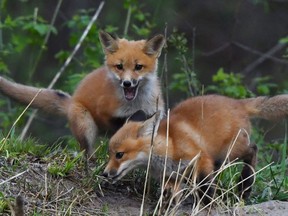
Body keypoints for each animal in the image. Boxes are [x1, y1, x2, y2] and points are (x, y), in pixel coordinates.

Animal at [0, 30, 165, 157]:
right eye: (119, 66)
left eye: (138, 67)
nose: (127, 83)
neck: (136, 104)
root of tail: (72, 99)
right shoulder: (105, 112)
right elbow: (120, 132)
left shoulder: (154, 115)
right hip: (85, 123)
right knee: (86, 151)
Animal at [103, 94, 288, 204]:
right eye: (110, 154)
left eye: (119, 155)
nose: (104, 174)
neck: (171, 145)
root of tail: (238, 103)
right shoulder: (171, 177)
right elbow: (170, 196)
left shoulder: (201, 158)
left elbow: (205, 186)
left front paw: (207, 204)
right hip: (220, 160)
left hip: (229, 153)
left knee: (253, 150)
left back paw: (245, 186)